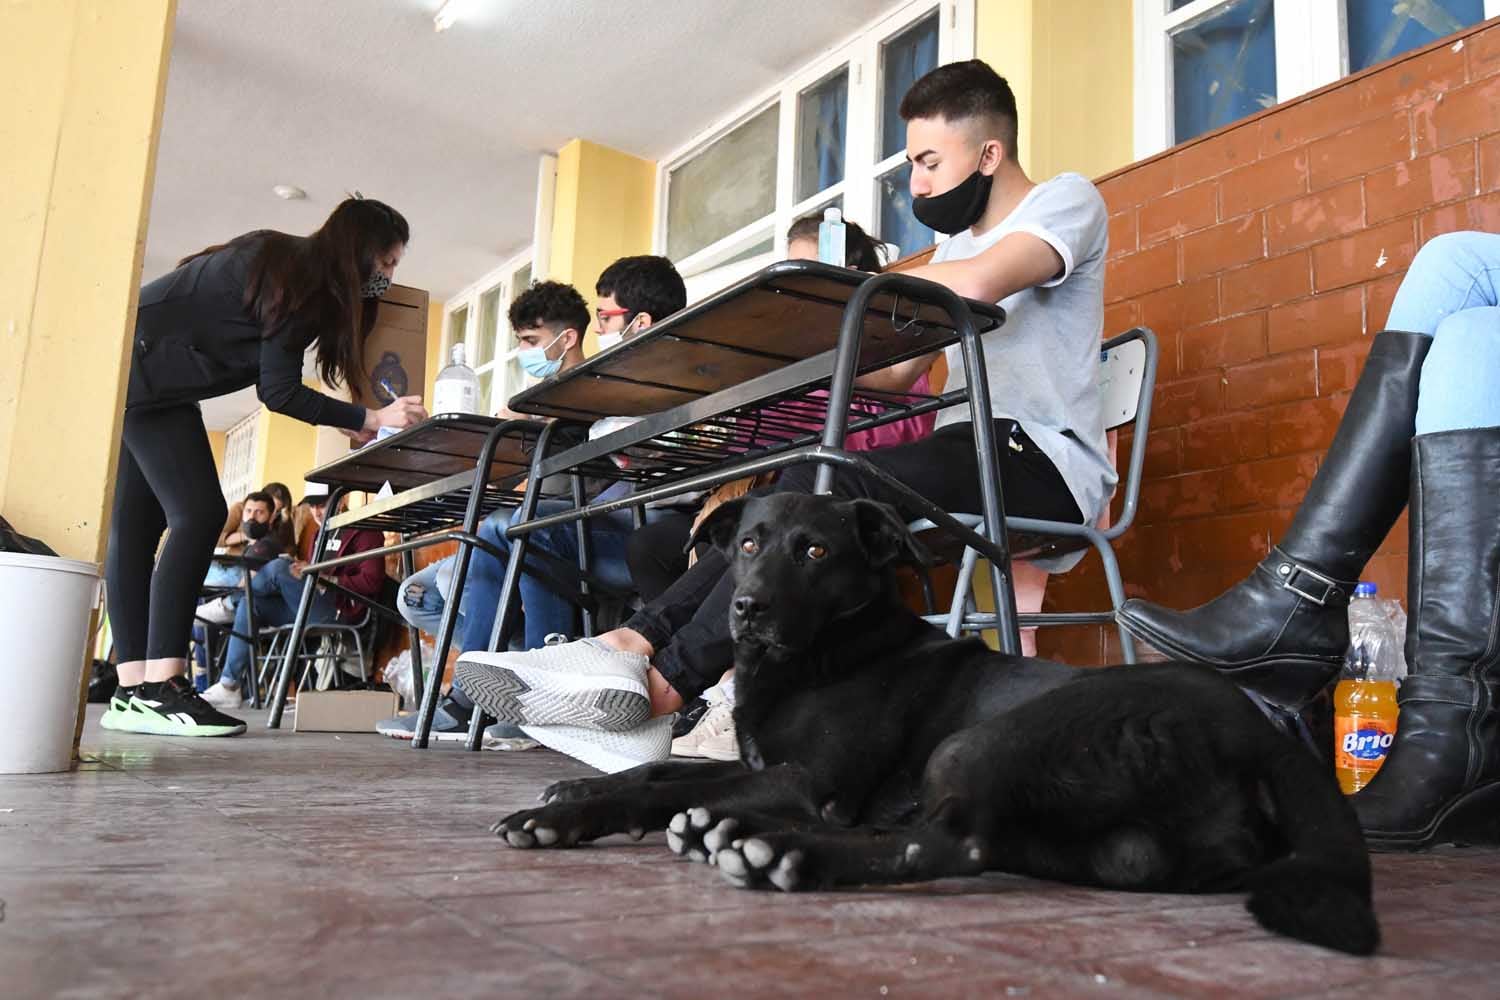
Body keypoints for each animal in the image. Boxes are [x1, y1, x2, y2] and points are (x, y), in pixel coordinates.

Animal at [495, 497, 1380, 959]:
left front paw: (564, 813)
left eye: (815, 551)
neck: (828, 647)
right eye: (747, 544)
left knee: (947, 842)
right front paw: (571, 792)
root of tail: (1262, 736)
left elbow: (671, 786)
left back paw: (770, 849)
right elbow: (657, 773)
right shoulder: (757, 761)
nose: (747, 608)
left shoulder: (811, 783)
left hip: (983, 741)